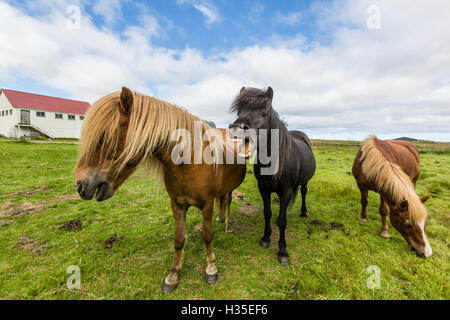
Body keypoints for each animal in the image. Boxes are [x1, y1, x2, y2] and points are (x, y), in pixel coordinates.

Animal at [74, 86, 246, 292]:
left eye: (103, 137)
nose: (80, 185)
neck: (191, 161)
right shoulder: (177, 204)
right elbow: (178, 240)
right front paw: (173, 275)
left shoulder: (207, 204)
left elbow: (207, 235)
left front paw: (211, 268)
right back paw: (220, 218)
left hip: (229, 190)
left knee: (227, 202)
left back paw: (227, 224)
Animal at [230, 86, 314, 264]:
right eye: (239, 111)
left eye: (264, 111)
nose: (236, 129)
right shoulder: (263, 188)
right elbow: (267, 213)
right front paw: (265, 238)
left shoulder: (287, 190)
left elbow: (282, 221)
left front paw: (282, 251)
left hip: (304, 181)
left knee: (303, 192)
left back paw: (303, 212)